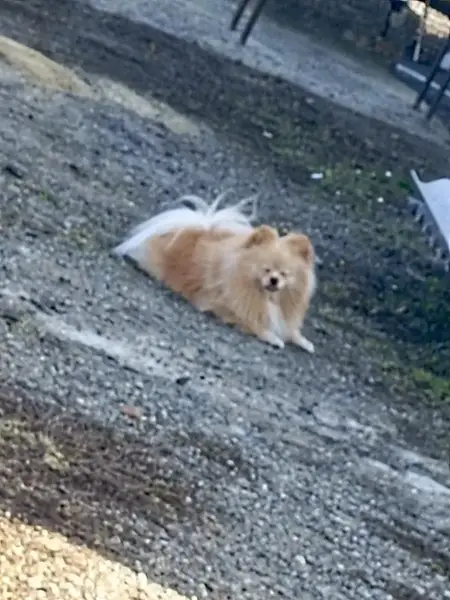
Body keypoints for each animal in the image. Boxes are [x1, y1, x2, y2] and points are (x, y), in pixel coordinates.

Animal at [114, 194, 316, 351]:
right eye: (265, 269)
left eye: (284, 274)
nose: (273, 280)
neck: (266, 297)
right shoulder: (223, 307)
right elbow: (252, 322)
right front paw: (273, 337)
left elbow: (290, 329)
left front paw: (303, 341)